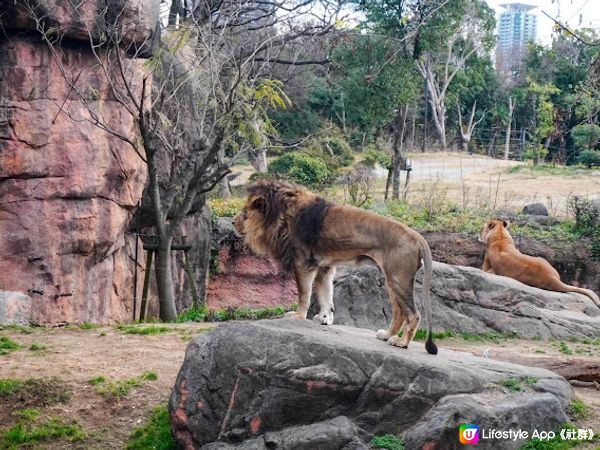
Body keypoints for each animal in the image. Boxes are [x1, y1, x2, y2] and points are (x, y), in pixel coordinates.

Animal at [233, 179, 436, 356]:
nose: (233, 222)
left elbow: (304, 294)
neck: (281, 216)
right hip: (392, 279)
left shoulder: (303, 262)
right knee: (399, 313)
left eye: (244, 212)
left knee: (414, 315)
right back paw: (386, 335)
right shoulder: (323, 266)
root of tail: (418, 236)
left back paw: (402, 342)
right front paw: (324, 318)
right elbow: (325, 295)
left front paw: (298, 316)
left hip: (398, 278)